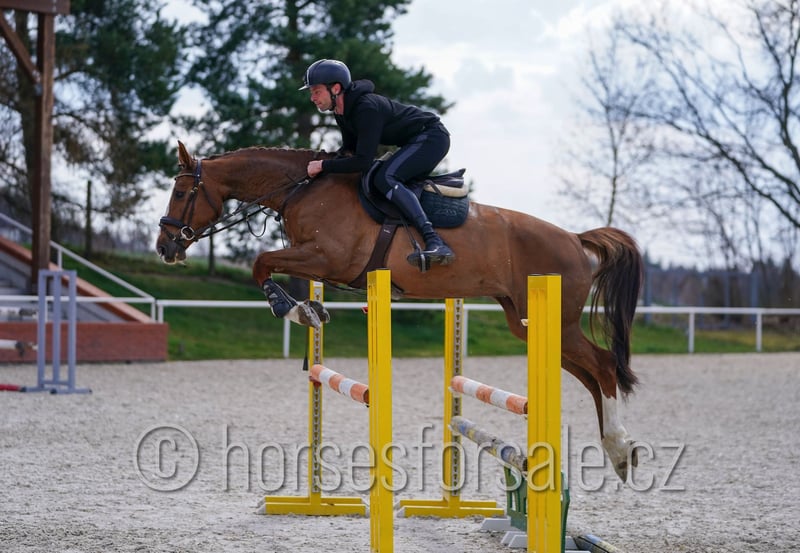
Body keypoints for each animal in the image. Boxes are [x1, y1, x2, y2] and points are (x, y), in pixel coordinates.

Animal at [156, 141, 644, 481]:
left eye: (179, 191)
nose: (164, 248)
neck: (301, 189)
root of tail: (576, 239)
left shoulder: (328, 258)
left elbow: (261, 262)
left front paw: (294, 310)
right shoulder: (316, 260)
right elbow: (269, 265)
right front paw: (309, 308)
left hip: (556, 321)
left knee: (603, 366)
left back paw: (620, 448)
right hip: (527, 323)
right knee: (591, 376)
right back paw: (616, 451)